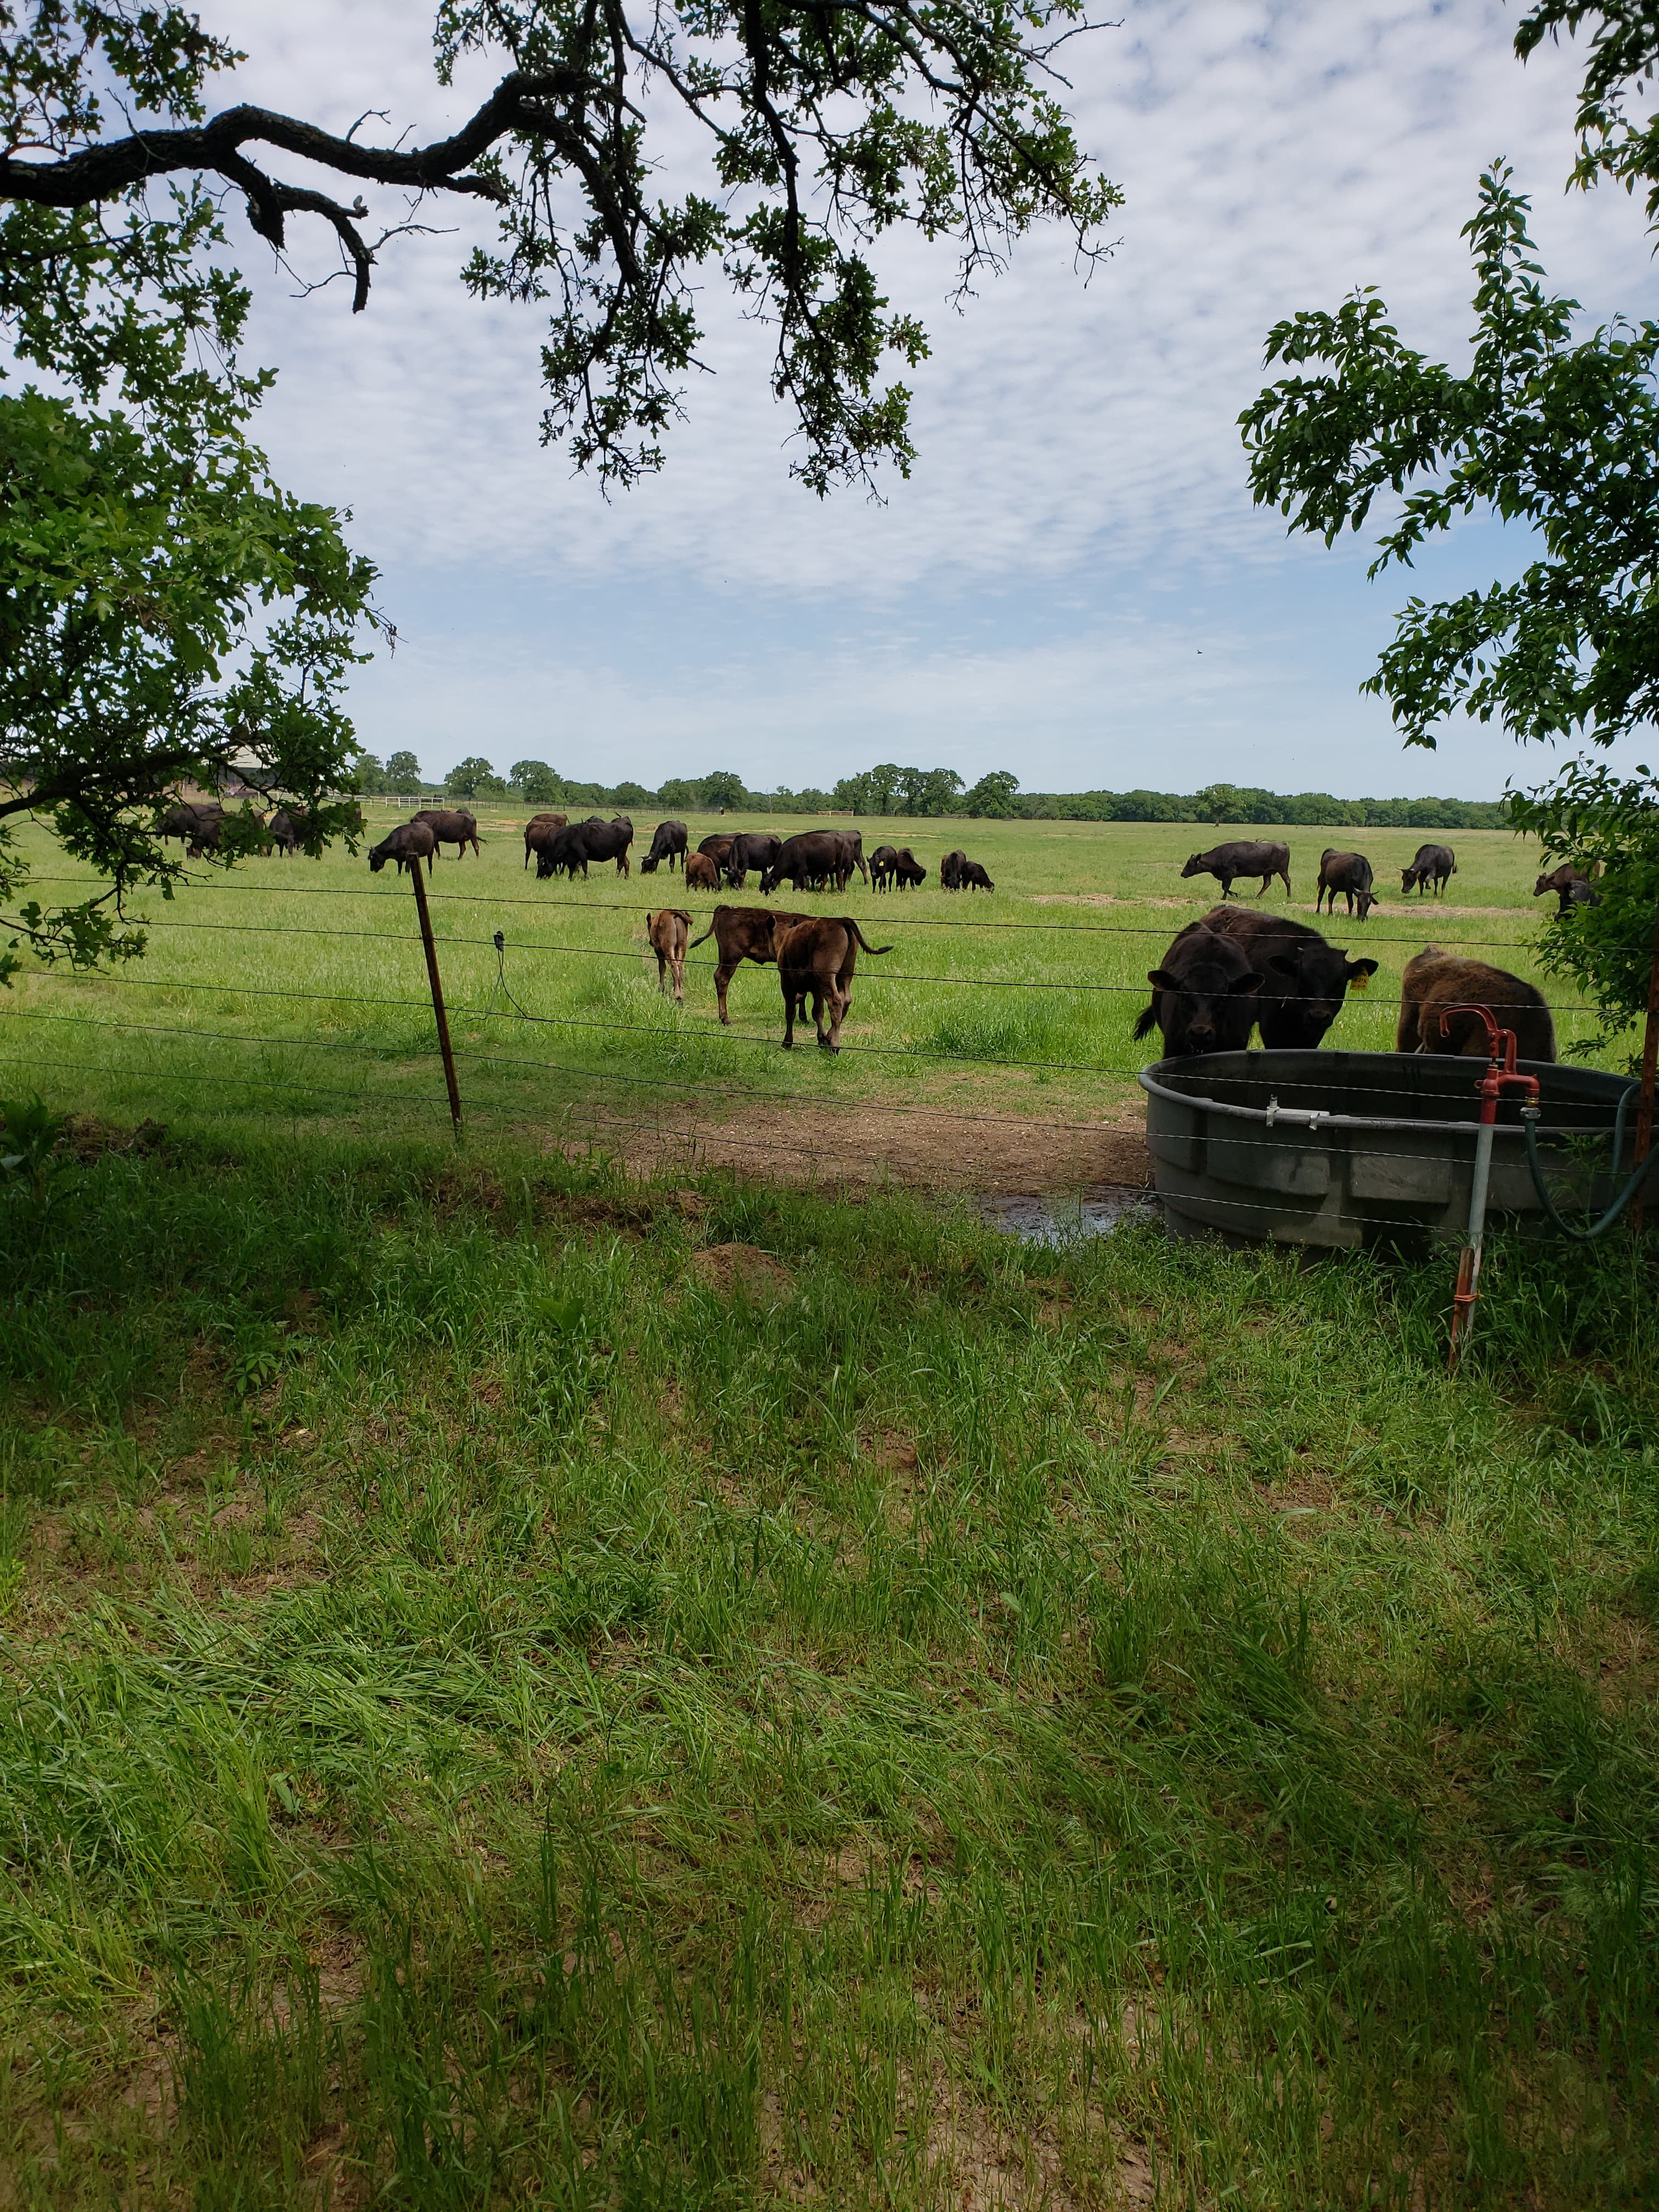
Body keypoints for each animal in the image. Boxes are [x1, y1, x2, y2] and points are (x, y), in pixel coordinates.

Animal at [646, 909, 692, 1004]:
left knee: (674, 966)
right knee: (680, 967)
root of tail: (672, 913)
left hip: (668, 948)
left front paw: (661, 989)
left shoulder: (658, 951)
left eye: (649, 927)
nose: (650, 942)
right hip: (682, 947)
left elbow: (662, 968)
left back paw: (678, 996)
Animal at [774, 917, 893, 1052]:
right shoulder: (816, 988)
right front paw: (822, 1038)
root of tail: (839, 920)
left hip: (826, 973)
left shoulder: (787, 983)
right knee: (845, 1000)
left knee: (835, 1001)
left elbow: (790, 1012)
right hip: (845, 973)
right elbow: (818, 1012)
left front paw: (787, 1042)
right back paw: (829, 1038)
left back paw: (834, 1046)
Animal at [1180, 840, 1292, 899]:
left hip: (1283, 870)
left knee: (1287, 881)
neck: (1219, 856)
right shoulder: (1225, 877)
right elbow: (1224, 887)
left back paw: (1289, 896)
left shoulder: (1230, 875)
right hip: (1267, 873)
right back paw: (1257, 897)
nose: (1182, 874)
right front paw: (1236, 894)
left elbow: (1225, 887)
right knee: (1267, 884)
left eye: (1190, 864)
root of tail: (1283, 844)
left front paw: (1224, 898)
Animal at [1316, 848, 1377, 921]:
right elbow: (1351, 903)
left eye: (1369, 904)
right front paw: (1349, 916)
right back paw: (1318, 912)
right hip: (1323, 881)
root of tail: (1331, 850)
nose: (1362, 919)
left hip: (1335, 887)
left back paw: (1330, 914)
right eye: (1359, 903)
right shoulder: (1349, 889)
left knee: (1330, 896)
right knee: (1320, 896)